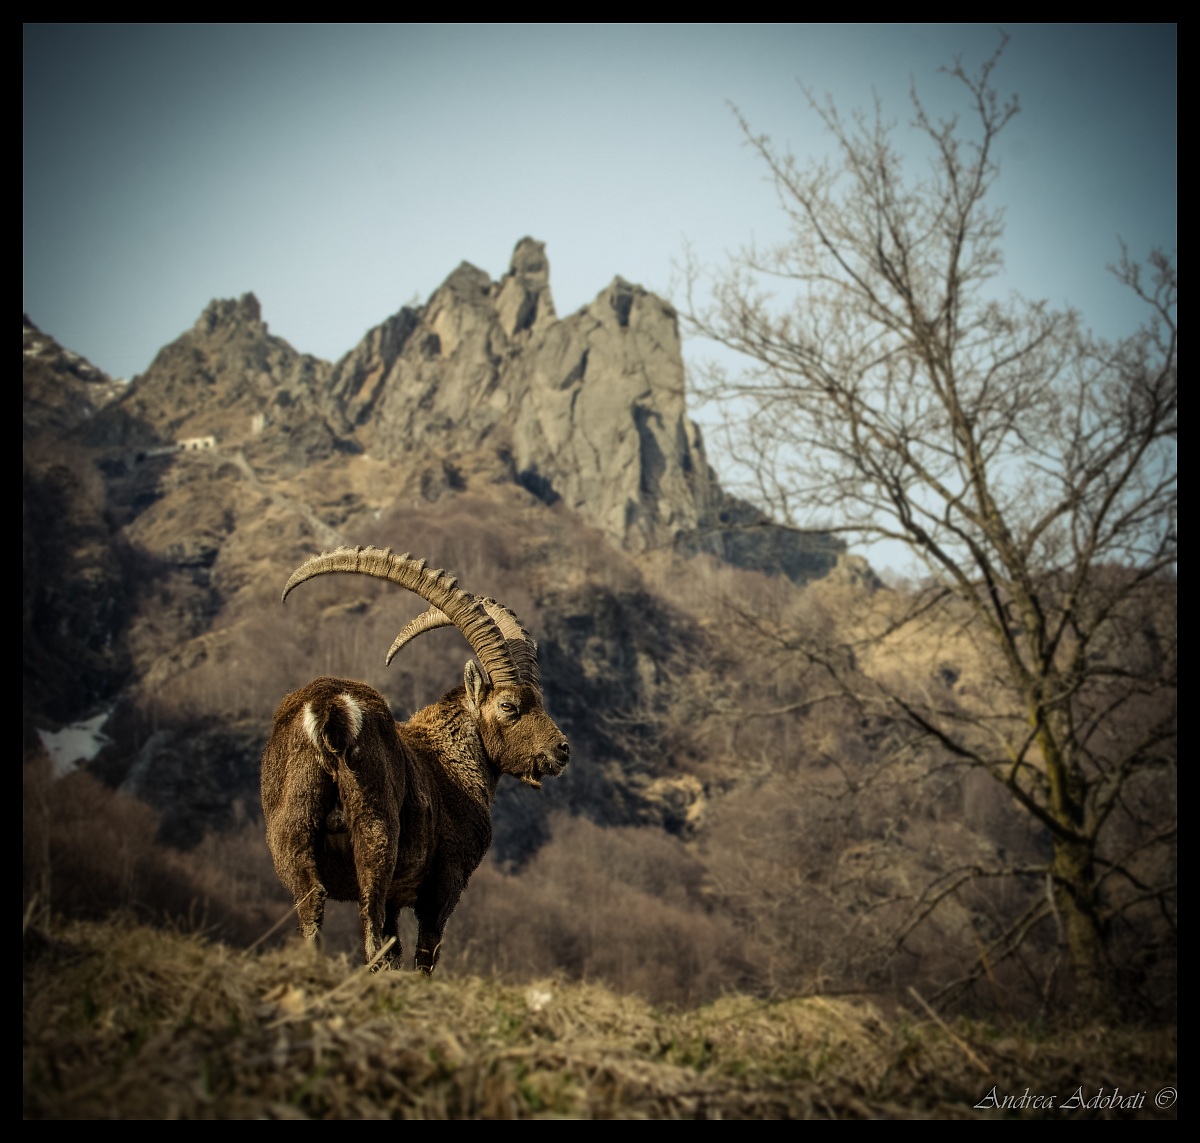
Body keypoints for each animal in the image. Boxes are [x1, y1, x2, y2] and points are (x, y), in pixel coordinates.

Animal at [260, 545, 570, 972]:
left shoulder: (397, 897)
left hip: (291, 829)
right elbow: (425, 953)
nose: (562, 749)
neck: (448, 757)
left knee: (313, 909)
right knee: (370, 927)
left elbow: (396, 946)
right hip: (375, 829)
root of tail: (329, 707)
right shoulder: (446, 881)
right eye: (509, 706)